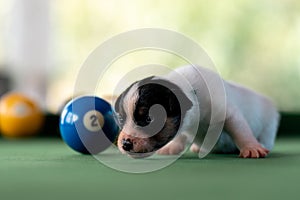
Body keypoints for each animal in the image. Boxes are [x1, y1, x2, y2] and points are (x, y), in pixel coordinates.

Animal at [113, 66, 280, 159]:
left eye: (149, 119)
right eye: (121, 120)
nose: (125, 144)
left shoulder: (228, 113)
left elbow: (240, 131)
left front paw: (251, 147)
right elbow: (180, 135)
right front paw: (172, 146)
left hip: (269, 125)